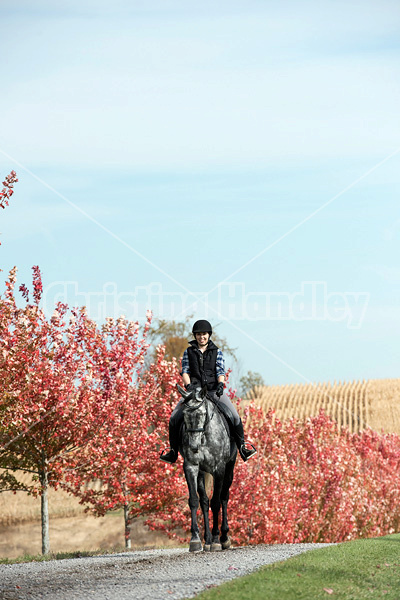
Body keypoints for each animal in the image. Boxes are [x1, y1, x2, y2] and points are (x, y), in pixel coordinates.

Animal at [176, 384, 236, 552]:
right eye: (185, 415)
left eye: (202, 414)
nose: (194, 446)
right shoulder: (191, 467)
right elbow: (194, 500)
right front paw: (195, 539)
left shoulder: (219, 469)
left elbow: (216, 502)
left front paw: (216, 540)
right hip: (202, 473)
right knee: (204, 501)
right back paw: (207, 540)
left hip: (229, 469)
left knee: (224, 497)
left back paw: (223, 538)